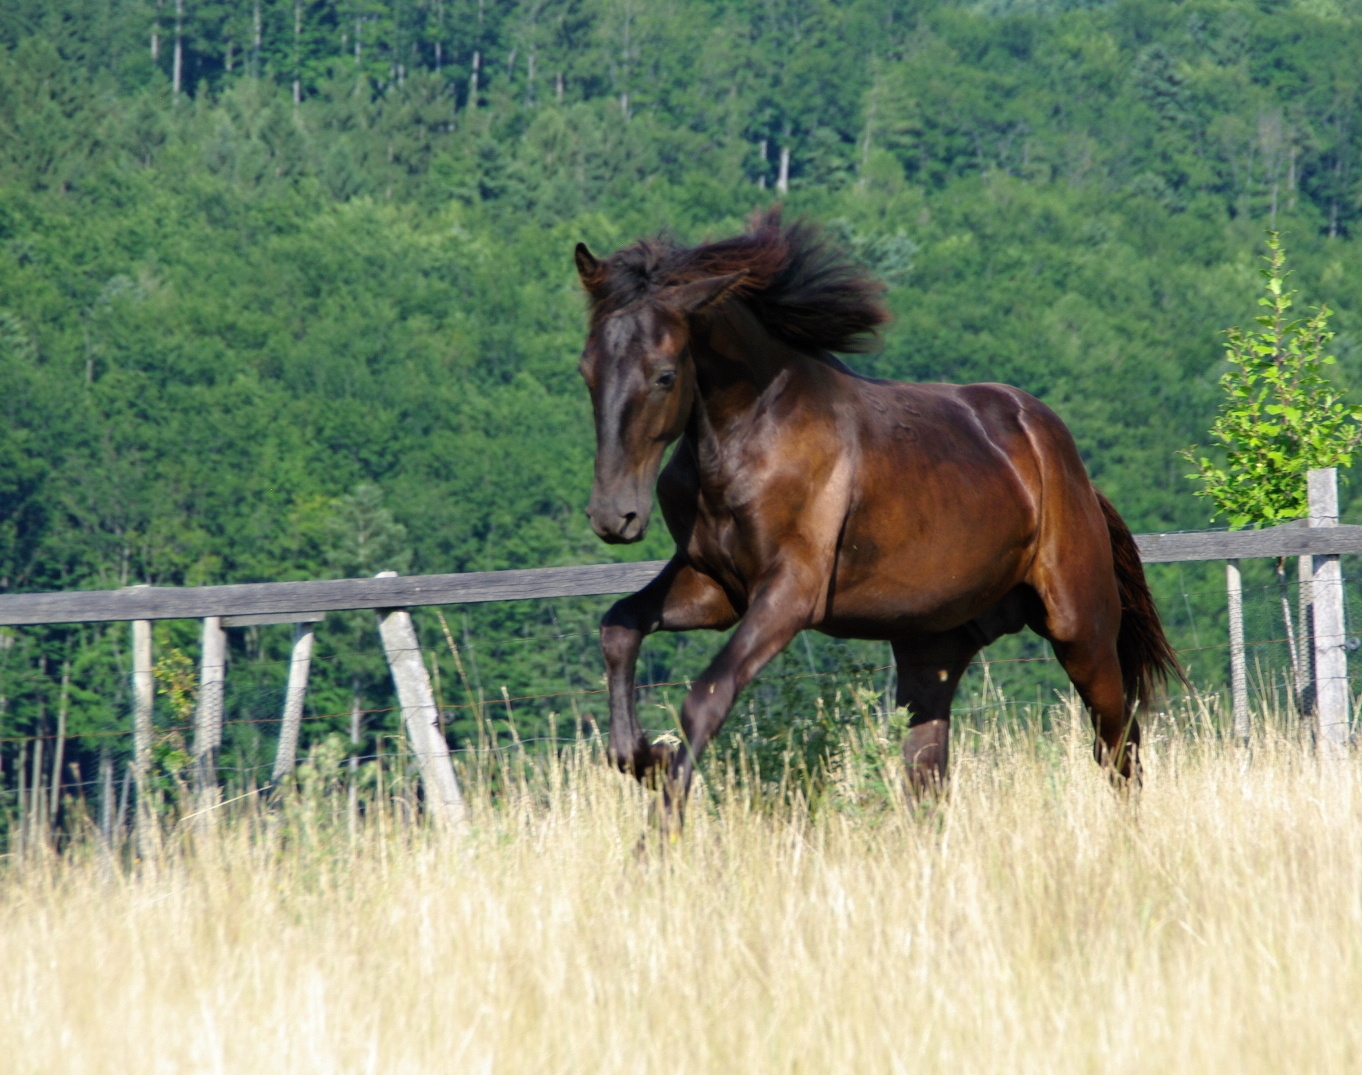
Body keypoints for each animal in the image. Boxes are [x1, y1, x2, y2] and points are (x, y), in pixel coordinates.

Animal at [569, 209, 1176, 806]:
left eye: (665, 375)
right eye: (586, 370)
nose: (613, 516)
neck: (748, 435)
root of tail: (1070, 467)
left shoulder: (789, 593)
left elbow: (704, 699)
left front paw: (662, 813)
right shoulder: (714, 586)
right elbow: (620, 626)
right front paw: (642, 757)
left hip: (1081, 629)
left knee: (1119, 746)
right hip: (932, 650)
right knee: (928, 775)